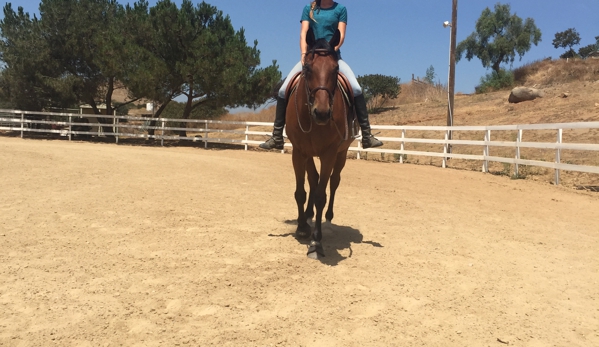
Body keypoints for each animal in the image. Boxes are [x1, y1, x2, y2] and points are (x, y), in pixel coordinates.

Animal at [284, 28, 356, 260]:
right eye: (307, 68)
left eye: (336, 69)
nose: (322, 113)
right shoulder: (299, 152)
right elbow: (302, 191)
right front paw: (301, 227)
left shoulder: (329, 154)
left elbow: (320, 196)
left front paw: (316, 242)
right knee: (313, 180)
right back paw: (307, 217)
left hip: (341, 154)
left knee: (333, 182)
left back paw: (328, 217)